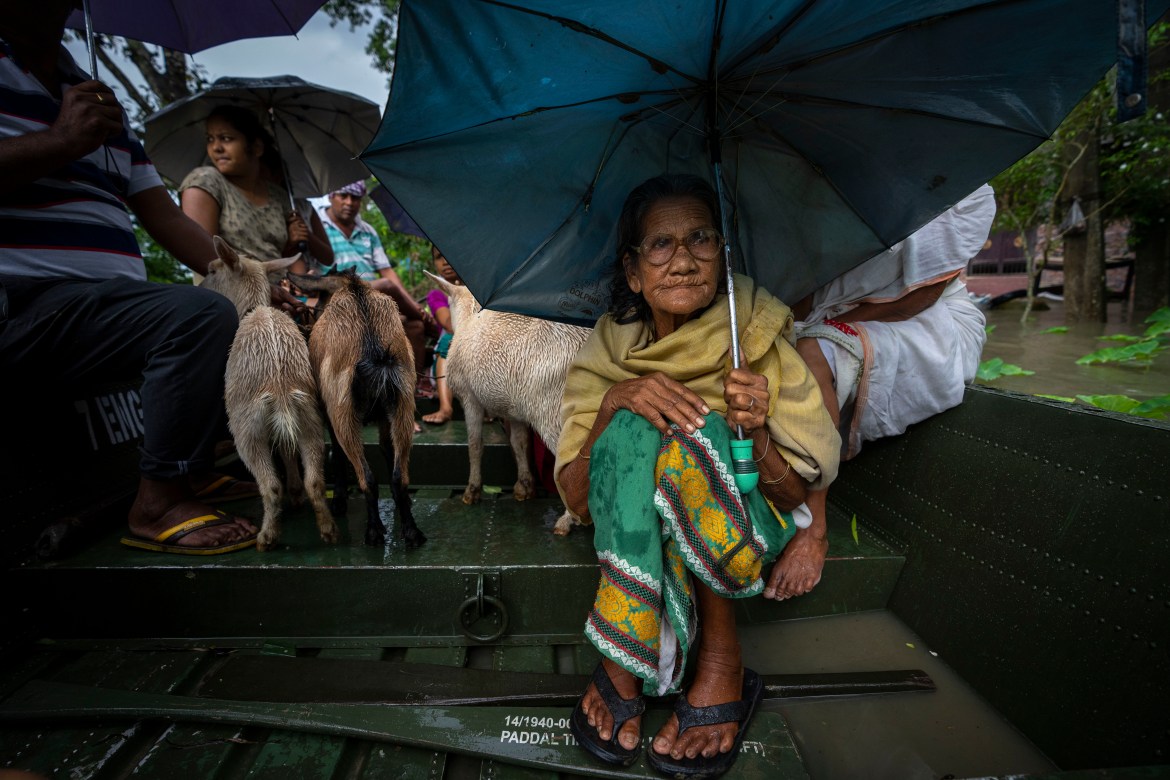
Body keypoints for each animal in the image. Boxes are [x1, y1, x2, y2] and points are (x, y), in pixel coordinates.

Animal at [198, 236, 336, 549]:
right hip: (309, 420)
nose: (199, 287)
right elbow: (287, 451)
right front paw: (295, 495)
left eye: (212, 270)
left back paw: (266, 538)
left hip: (246, 430)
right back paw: (328, 531)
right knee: (315, 480)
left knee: (271, 485)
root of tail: (279, 385)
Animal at [287, 268, 425, 549]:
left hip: (342, 411)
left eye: (319, 298)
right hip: (403, 404)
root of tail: (373, 349)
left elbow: (338, 455)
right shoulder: (385, 416)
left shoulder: (330, 410)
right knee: (400, 476)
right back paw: (412, 532)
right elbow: (387, 451)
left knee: (366, 477)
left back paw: (373, 532)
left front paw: (339, 500)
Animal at [428, 274, 589, 537]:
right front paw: (524, 487)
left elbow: (475, 444)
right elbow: (519, 443)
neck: (470, 315)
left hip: (552, 409)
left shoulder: (469, 398)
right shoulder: (514, 410)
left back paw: (568, 520)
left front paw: (472, 491)